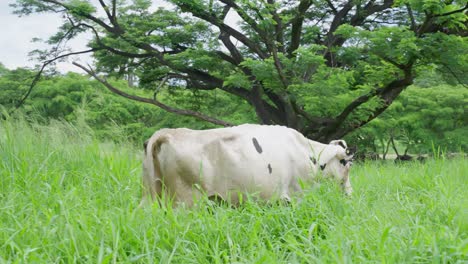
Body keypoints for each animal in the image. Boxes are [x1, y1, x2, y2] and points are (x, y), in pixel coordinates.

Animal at [139, 125, 354, 207]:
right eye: (346, 164)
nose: (350, 193)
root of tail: (166, 133)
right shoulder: (296, 195)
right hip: (186, 201)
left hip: (149, 196)